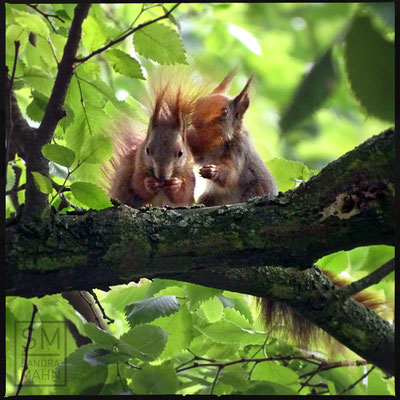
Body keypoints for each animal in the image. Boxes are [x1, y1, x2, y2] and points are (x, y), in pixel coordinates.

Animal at [188, 71, 390, 350]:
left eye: (225, 112)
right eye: (197, 105)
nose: (192, 126)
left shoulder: (238, 153)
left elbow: (228, 172)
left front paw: (213, 170)